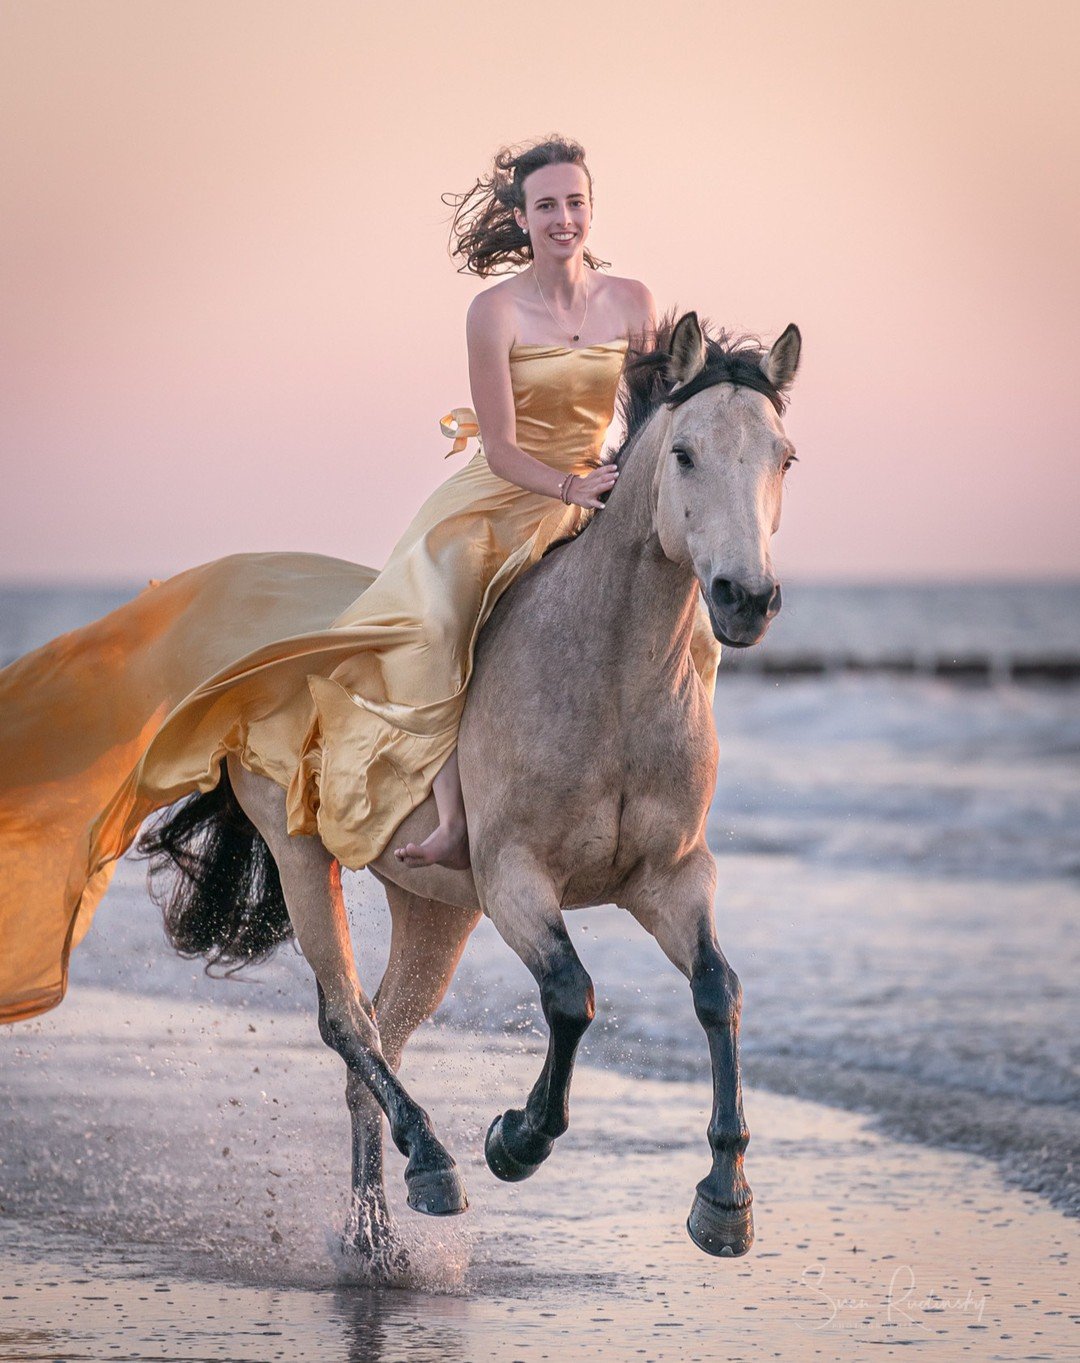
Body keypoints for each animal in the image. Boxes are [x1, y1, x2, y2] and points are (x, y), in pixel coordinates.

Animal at [141, 309, 801, 1264]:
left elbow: (720, 989)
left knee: (380, 1038)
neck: (609, 681)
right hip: (306, 859)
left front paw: (724, 1200)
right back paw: (434, 1163)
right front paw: (514, 1140)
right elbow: (570, 995)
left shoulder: (672, 879)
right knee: (348, 1022)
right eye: (683, 452)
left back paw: (379, 1235)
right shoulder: (515, 878)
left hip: (435, 909)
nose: (745, 598)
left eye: (784, 456)